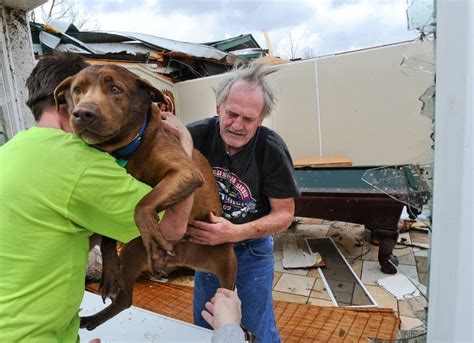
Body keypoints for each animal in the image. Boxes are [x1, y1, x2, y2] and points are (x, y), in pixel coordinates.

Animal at [54, 64, 237, 330]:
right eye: (78, 89)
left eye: (115, 88)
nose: (82, 113)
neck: (126, 150)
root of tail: (185, 259)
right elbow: (108, 236)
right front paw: (110, 271)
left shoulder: (184, 172)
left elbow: (143, 203)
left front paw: (155, 243)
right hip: (132, 251)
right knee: (125, 300)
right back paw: (95, 315)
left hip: (227, 266)